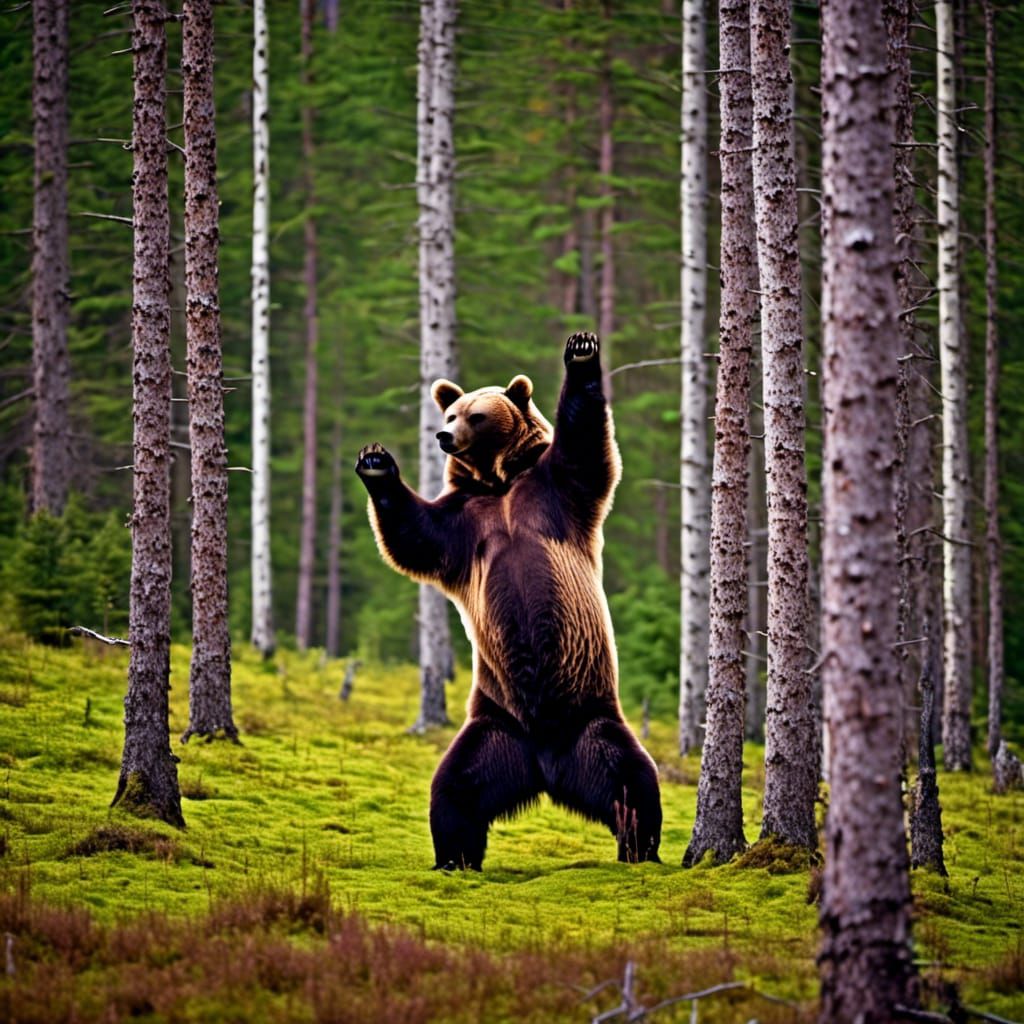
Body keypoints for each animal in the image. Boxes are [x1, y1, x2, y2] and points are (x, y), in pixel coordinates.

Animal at [354, 332, 662, 869]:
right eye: (450, 412)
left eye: (476, 415)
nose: (444, 436)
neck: (498, 483)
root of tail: (547, 764)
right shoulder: (463, 524)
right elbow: (413, 533)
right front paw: (376, 464)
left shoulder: (553, 492)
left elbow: (583, 446)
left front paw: (582, 354)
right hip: (494, 723)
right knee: (455, 788)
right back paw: (454, 855)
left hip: (590, 714)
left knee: (632, 782)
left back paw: (641, 847)